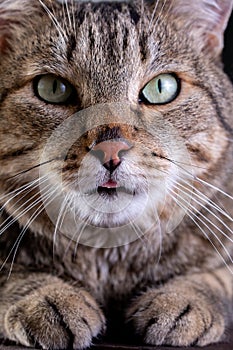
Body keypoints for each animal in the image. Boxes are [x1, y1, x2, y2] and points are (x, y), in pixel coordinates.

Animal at [0, 0, 232, 348]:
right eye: (52, 88)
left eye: (162, 87)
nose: (111, 150)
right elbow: (11, 274)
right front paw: (46, 296)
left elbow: (218, 276)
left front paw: (183, 298)